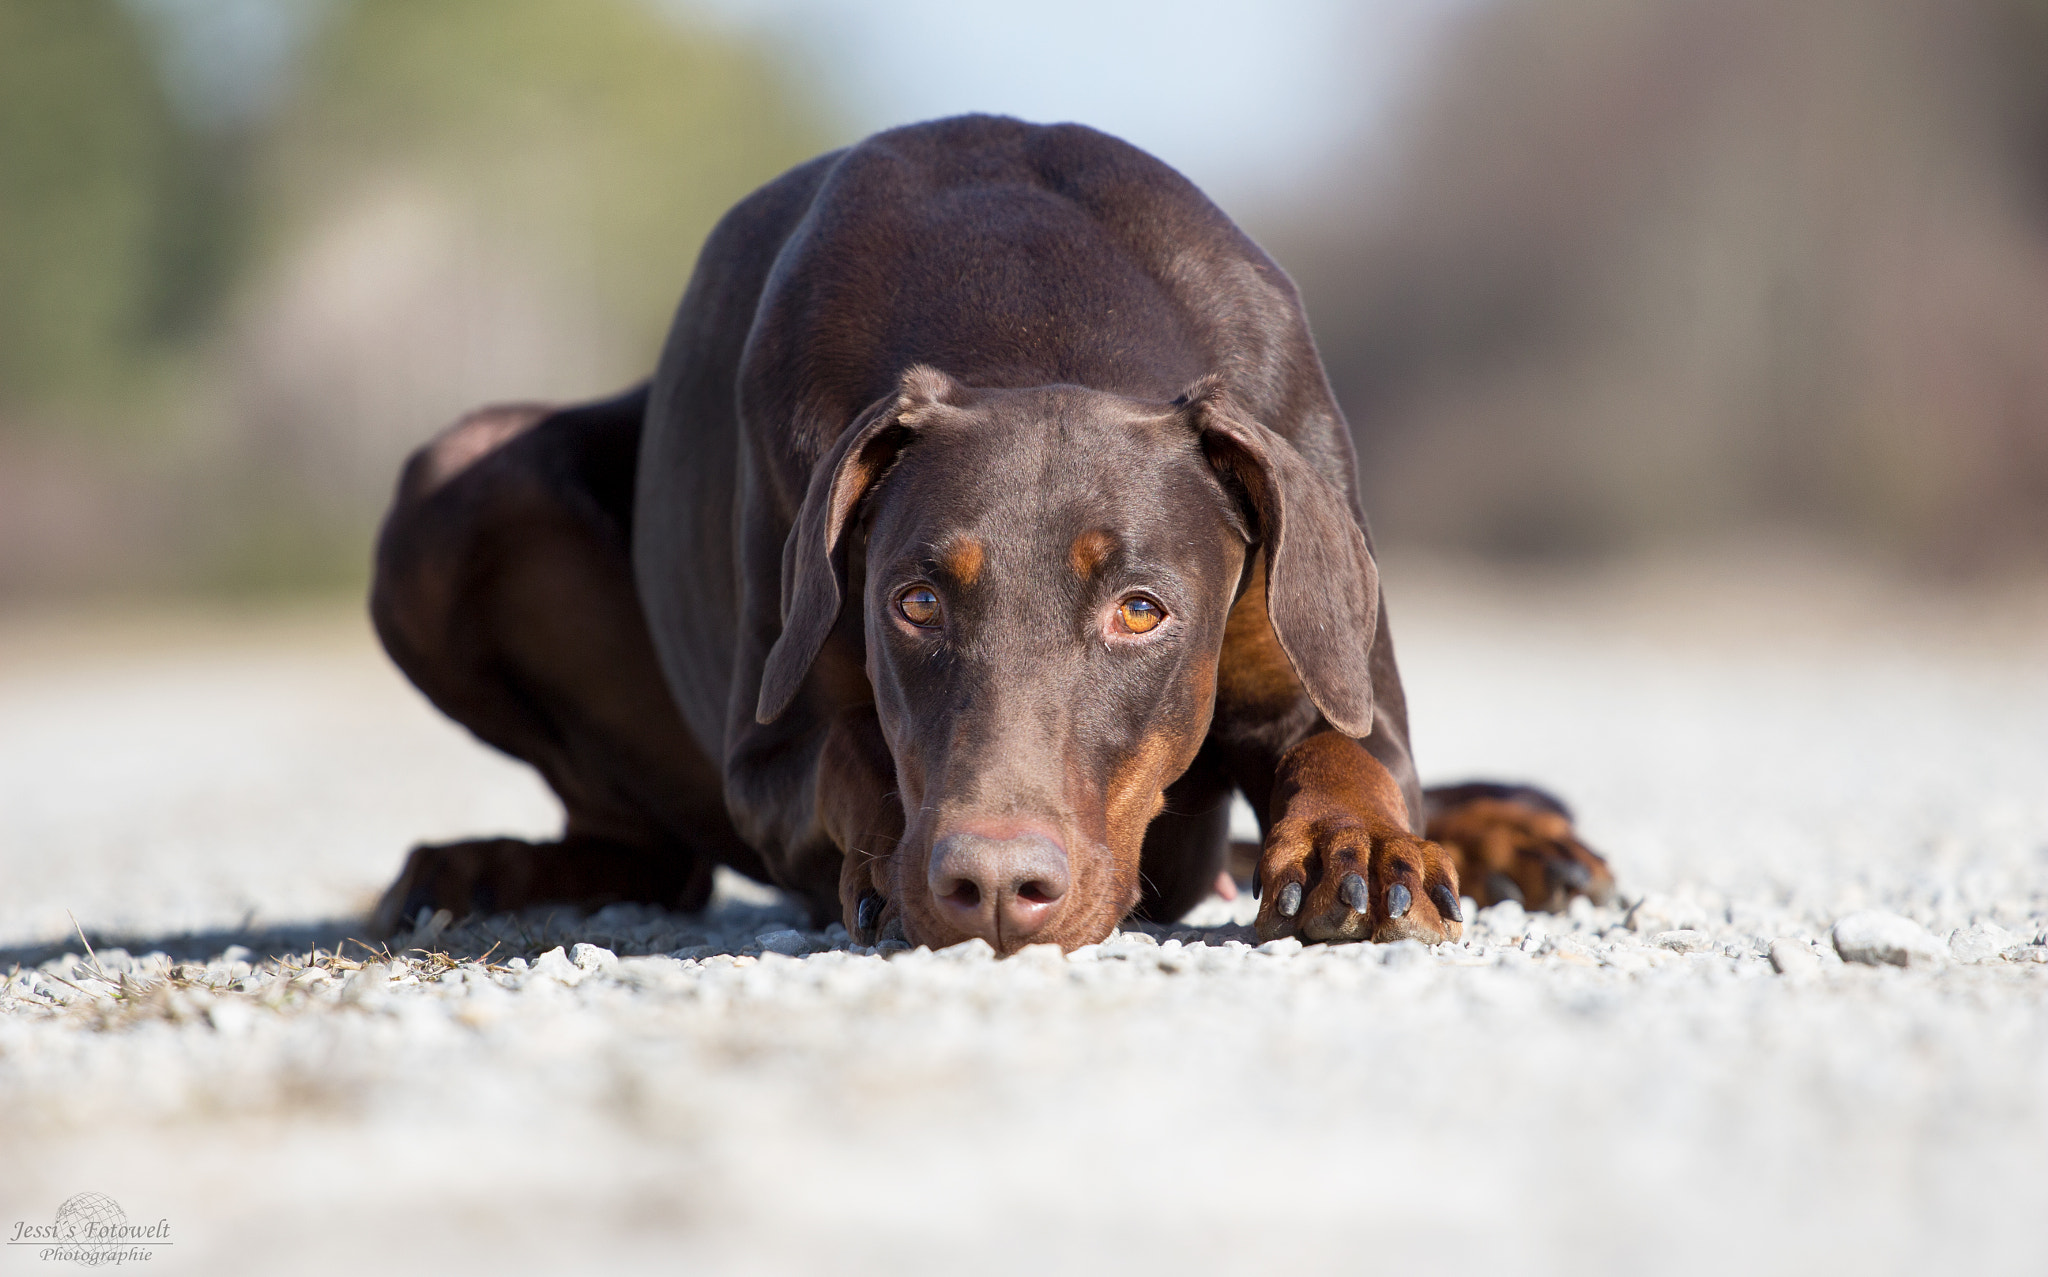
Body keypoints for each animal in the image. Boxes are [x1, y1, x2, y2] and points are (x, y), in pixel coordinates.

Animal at [368, 119, 1613, 953]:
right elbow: (847, 751)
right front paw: (886, 857)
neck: (1033, 320)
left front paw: (1359, 849)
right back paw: (490, 864)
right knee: (655, 854)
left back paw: (1512, 835)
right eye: (914, 602)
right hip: (451, 492)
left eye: (1141, 610)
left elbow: (1347, 749)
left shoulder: (1320, 638)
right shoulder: (768, 752)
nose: (1000, 888)